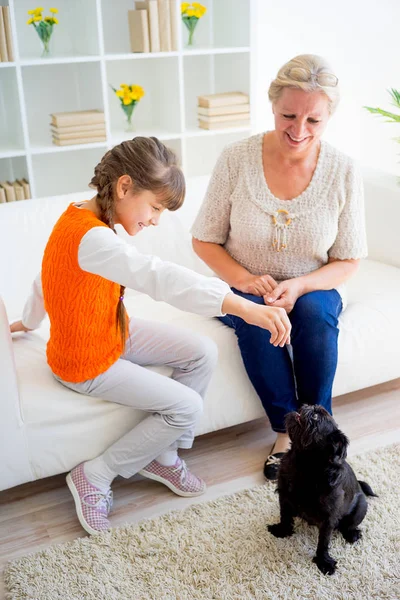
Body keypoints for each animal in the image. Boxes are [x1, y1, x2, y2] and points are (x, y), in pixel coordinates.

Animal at [268, 406, 376, 576]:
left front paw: (324, 562)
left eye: (316, 417)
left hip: (361, 507)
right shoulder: (284, 497)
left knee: (348, 525)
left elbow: (323, 542)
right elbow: (285, 517)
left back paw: (352, 534)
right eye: (311, 409)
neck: (304, 465)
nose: (306, 406)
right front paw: (282, 531)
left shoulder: (328, 518)